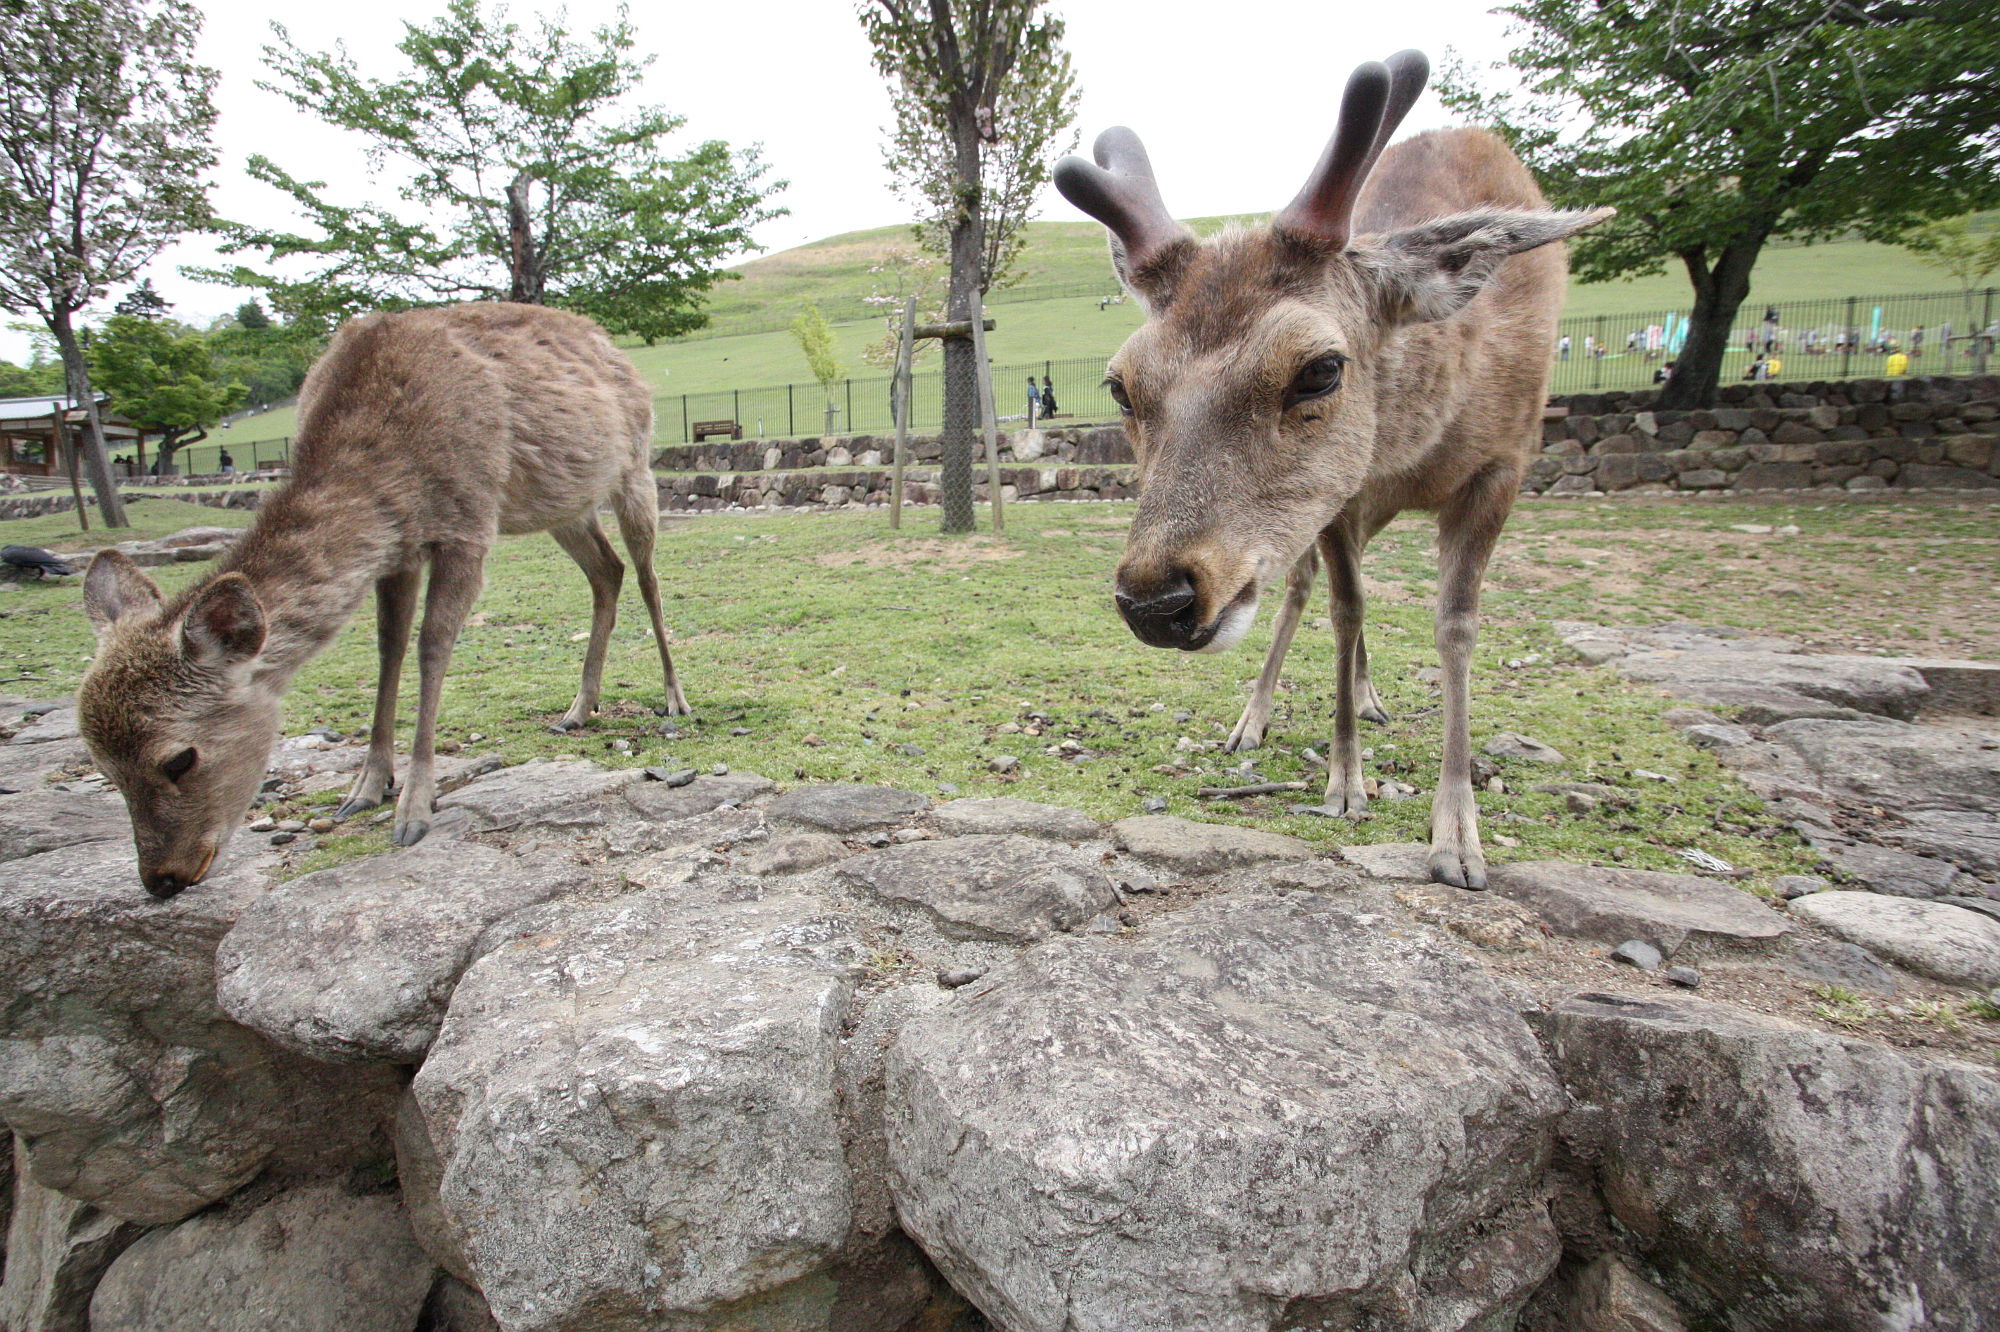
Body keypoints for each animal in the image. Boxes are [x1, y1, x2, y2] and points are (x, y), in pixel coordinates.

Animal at [78, 304, 692, 892]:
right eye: (103, 768)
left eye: (180, 758)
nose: (163, 879)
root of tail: (611, 344)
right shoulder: (399, 548)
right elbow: (388, 646)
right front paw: (365, 786)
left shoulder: (467, 523)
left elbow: (432, 645)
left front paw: (414, 808)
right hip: (563, 502)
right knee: (606, 571)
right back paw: (578, 708)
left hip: (635, 468)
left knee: (646, 576)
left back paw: (674, 698)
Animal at [1064, 52, 1608, 888]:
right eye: (1121, 385)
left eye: (1320, 369)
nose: (1157, 601)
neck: (1419, 439)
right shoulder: (1341, 497)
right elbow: (1346, 610)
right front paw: (1346, 781)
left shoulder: (1503, 465)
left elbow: (1456, 626)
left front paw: (1458, 834)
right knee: (1304, 590)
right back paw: (1257, 716)